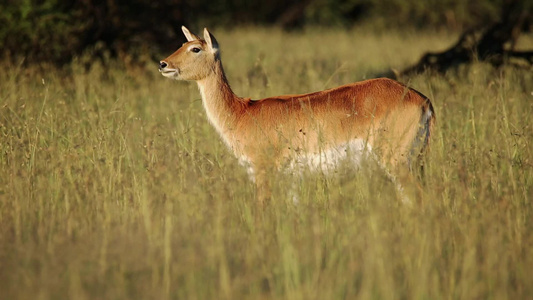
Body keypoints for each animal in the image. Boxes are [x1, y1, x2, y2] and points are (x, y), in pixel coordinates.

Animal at [160, 27, 434, 204]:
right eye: (182, 45)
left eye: (195, 48)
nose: (163, 64)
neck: (241, 113)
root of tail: (423, 100)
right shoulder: (290, 181)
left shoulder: (263, 172)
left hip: (396, 161)